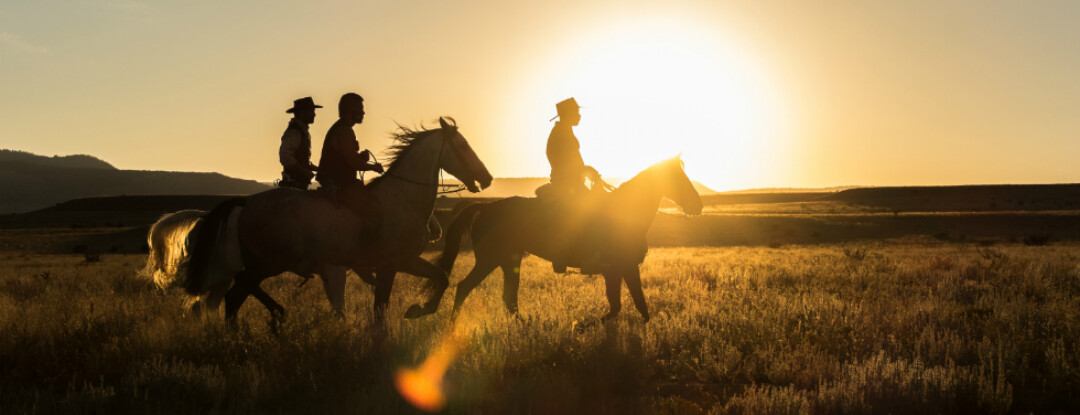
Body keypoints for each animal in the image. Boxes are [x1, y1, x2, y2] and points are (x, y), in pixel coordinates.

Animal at [434, 154, 704, 319]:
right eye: (678, 178)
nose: (698, 206)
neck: (624, 214)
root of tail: (486, 207)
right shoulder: (619, 269)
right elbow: (624, 306)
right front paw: (583, 326)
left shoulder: (621, 270)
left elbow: (635, 306)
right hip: (489, 260)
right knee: (464, 288)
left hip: (509, 260)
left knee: (508, 298)